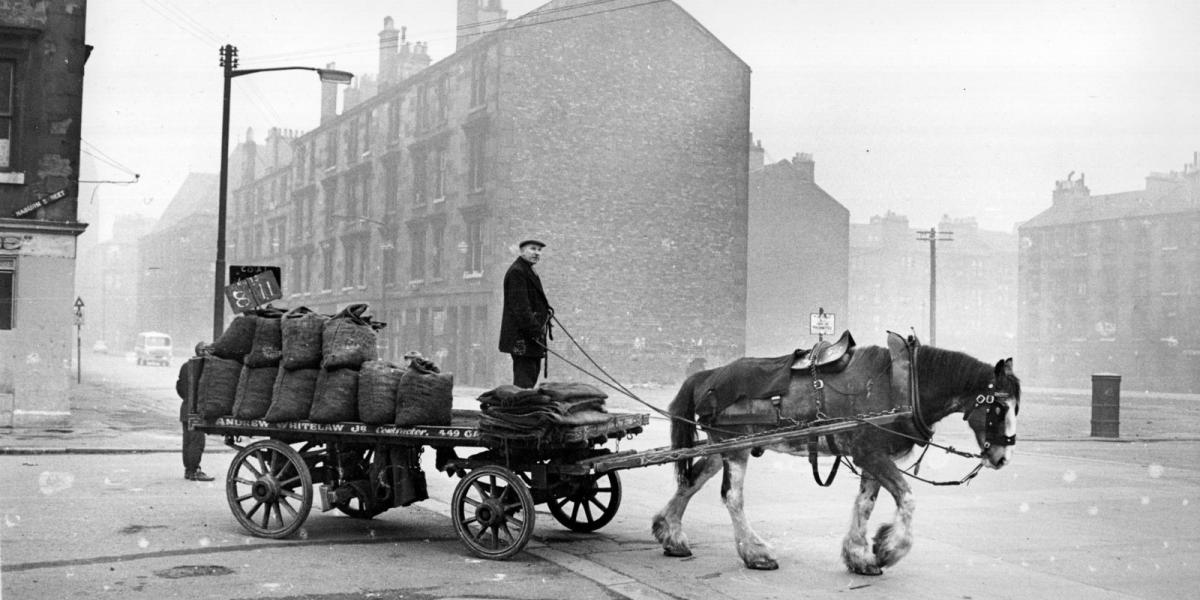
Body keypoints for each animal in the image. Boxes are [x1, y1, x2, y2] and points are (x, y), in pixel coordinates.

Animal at [652, 336, 1017, 573]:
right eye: (999, 407)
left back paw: (670, 533)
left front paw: (860, 555)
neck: (900, 385)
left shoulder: (871, 457)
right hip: (735, 446)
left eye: (1017, 406)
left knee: (690, 481)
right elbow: (907, 497)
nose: (1002, 457)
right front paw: (888, 549)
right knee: (732, 497)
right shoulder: (870, 454)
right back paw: (756, 553)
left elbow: (865, 504)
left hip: (719, 447)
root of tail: (708, 374)